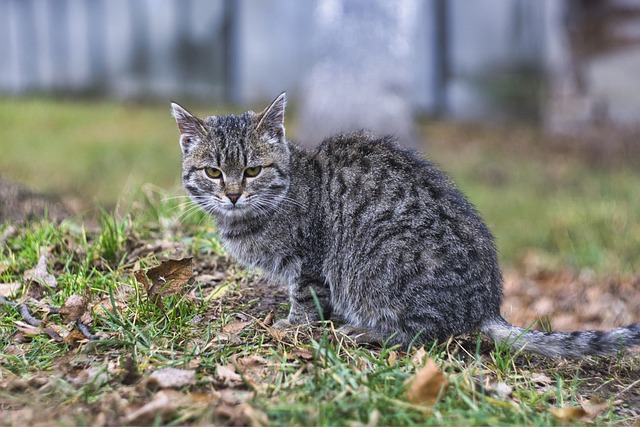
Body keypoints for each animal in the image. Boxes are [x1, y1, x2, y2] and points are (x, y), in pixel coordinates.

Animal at [171, 93, 640, 358]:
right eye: (213, 172)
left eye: (252, 170)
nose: (233, 193)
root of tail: (486, 306)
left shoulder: (311, 261)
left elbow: (305, 297)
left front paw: (293, 325)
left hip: (383, 272)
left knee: (424, 335)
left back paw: (363, 331)